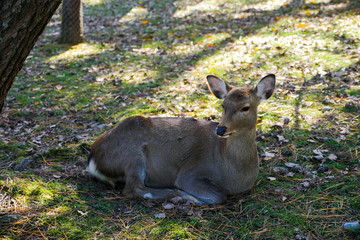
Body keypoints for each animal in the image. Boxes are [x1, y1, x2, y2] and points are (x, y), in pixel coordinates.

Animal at [87, 73, 276, 204]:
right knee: (134, 188)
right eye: (223, 105)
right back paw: (177, 194)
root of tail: (92, 160)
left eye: (245, 107)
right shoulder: (190, 172)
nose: (221, 129)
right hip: (131, 155)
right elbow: (219, 196)